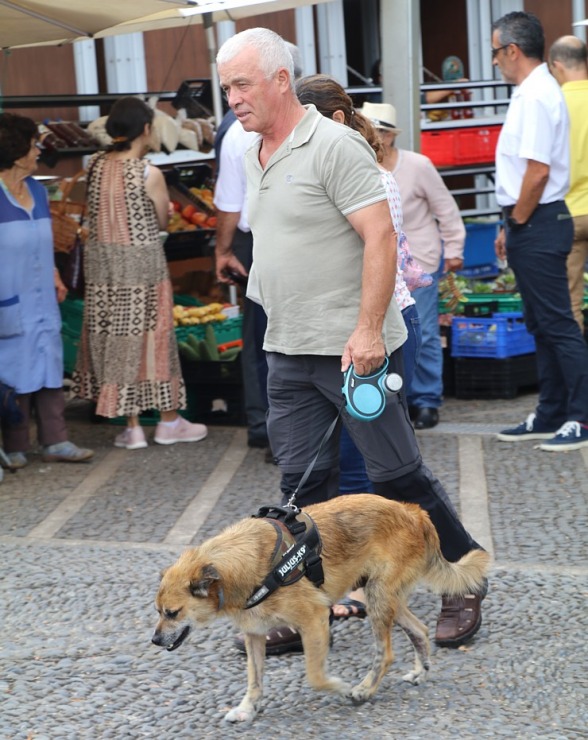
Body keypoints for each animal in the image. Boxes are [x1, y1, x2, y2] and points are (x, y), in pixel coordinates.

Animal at [153, 492, 492, 724]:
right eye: (157, 611)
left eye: (172, 613)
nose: (154, 640)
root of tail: (414, 512)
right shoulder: (254, 634)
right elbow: (254, 679)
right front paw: (248, 709)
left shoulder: (315, 620)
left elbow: (315, 675)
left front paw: (340, 688)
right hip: (384, 598)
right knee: (419, 630)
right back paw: (420, 671)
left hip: (379, 599)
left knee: (385, 653)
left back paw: (364, 690)